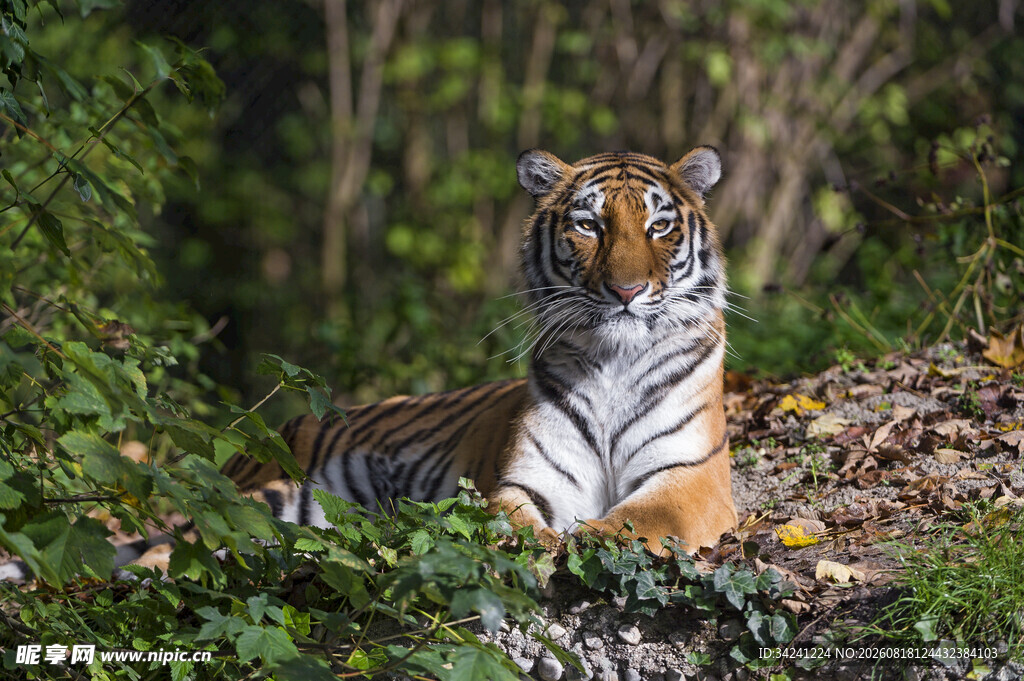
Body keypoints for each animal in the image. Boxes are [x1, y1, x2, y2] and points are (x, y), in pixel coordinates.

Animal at [223, 147, 737, 554]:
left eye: (659, 226)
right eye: (589, 225)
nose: (626, 290)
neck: (615, 363)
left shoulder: (690, 478)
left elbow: (635, 522)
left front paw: (583, 538)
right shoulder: (525, 480)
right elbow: (511, 522)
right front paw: (543, 545)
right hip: (272, 490)